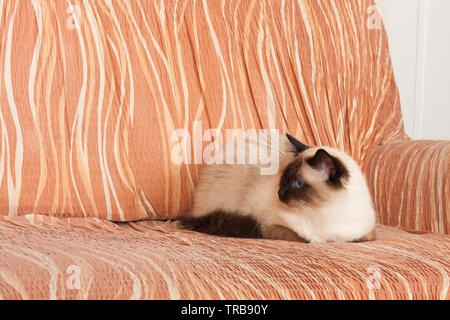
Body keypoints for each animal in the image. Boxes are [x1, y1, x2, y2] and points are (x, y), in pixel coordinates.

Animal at [179, 132, 376, 242]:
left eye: (298, 183)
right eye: (282, 179)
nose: (279, 193)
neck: (323, 211)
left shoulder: (365, 232)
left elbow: (364, 237)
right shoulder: (269, 225)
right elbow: (307, 239)